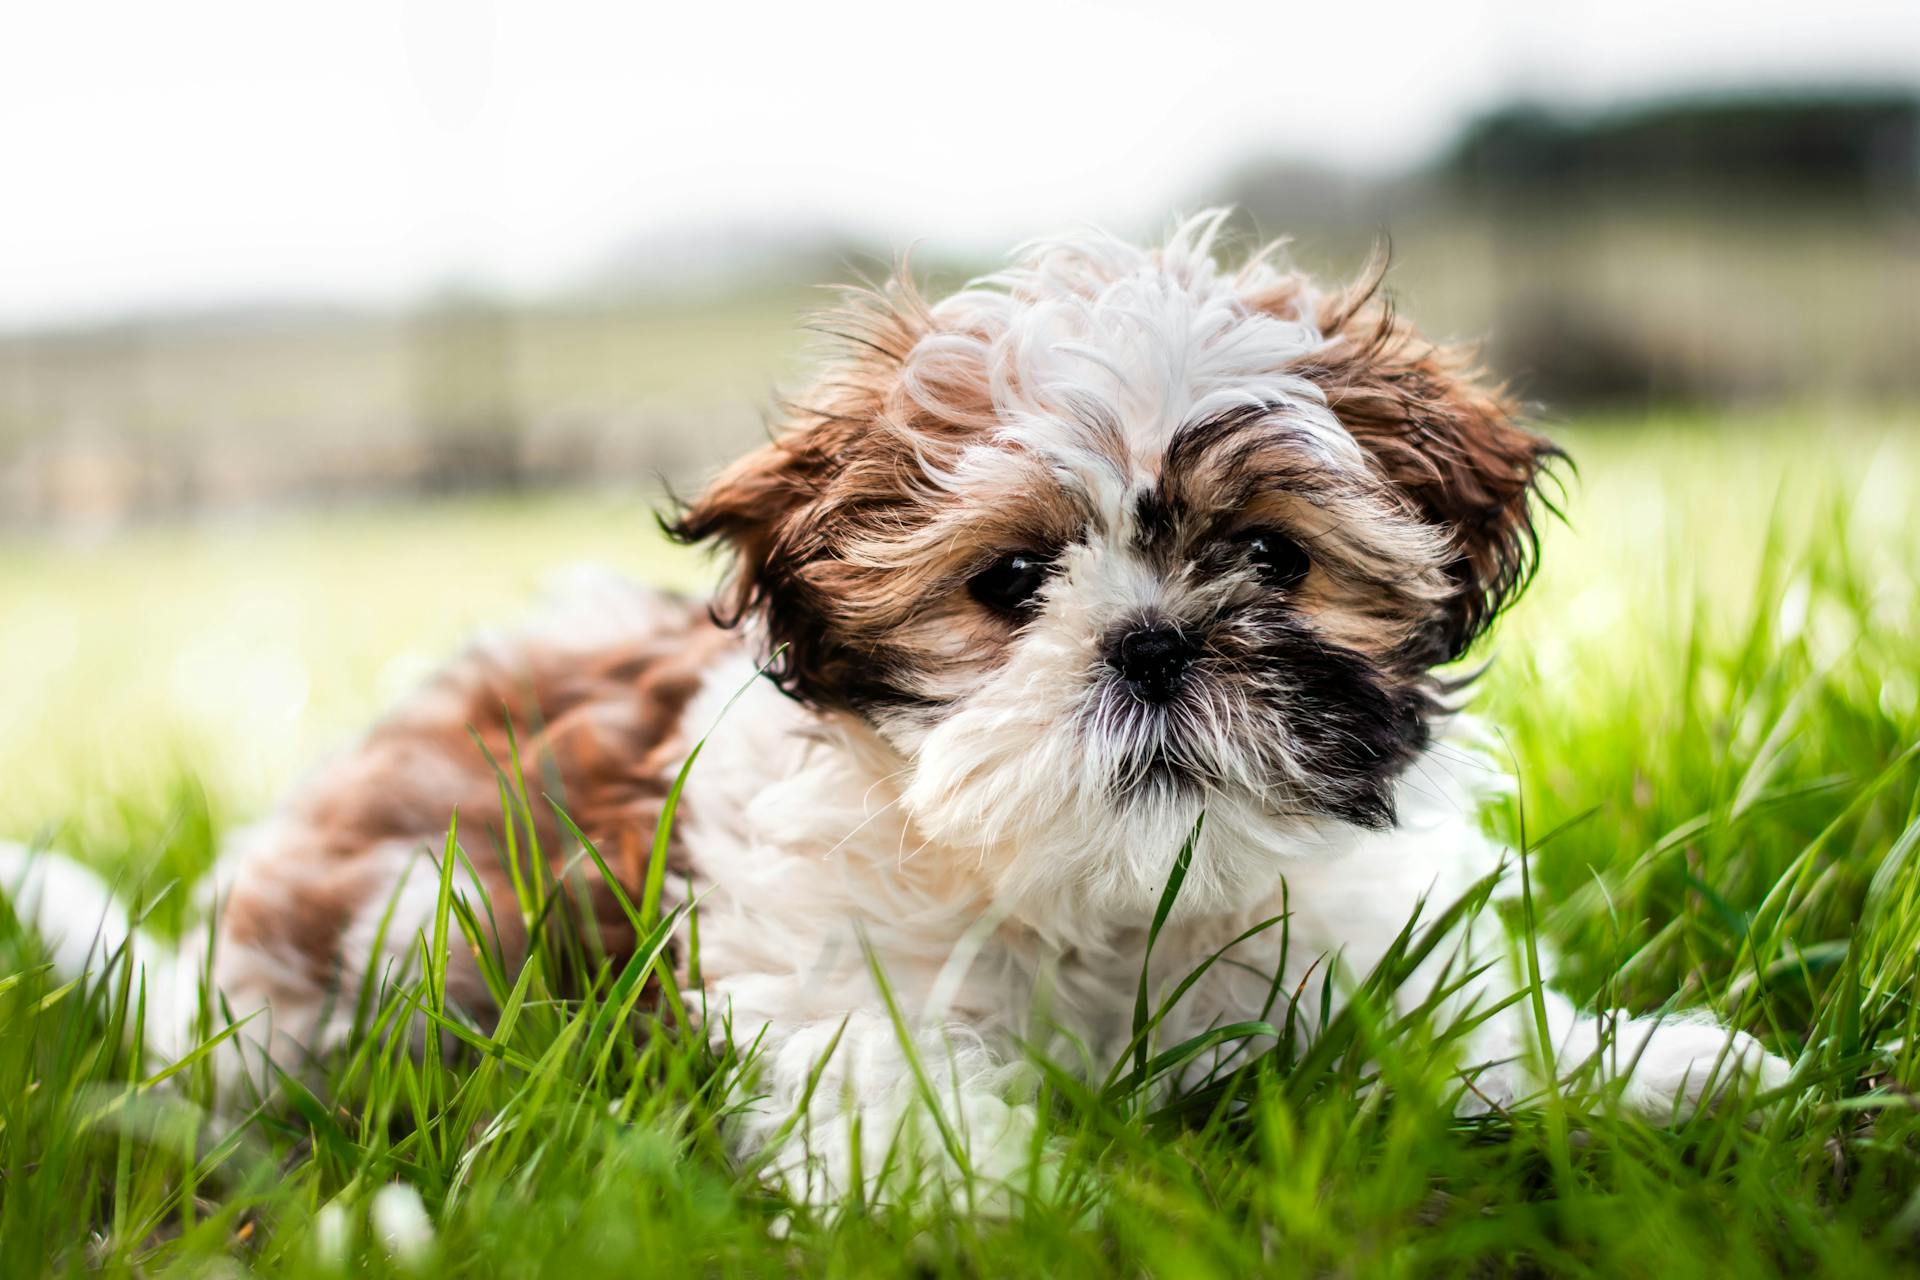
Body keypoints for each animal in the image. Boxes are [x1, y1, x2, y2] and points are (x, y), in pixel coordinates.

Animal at [7, 214, 1789, 1205]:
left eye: (1275, 559)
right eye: (1011, 582)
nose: (1152, 644)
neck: (1117, 901)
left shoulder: (1359, 938)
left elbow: (1459, 1032)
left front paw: (1644, 1069)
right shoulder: (826, 981)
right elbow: (891, 1096)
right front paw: (993, 1203)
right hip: (408, 916)